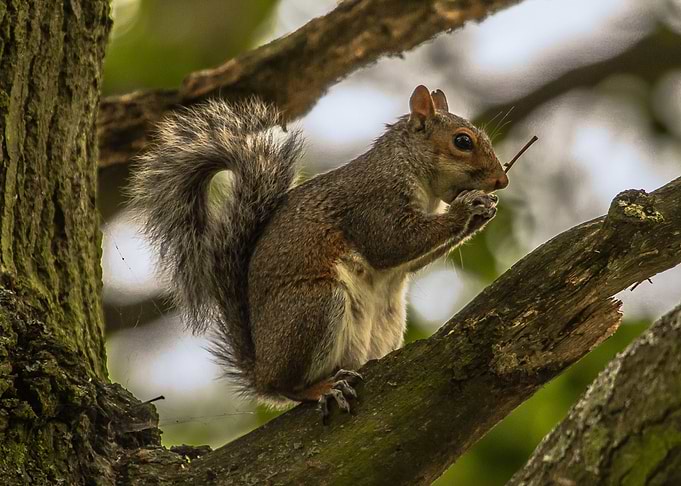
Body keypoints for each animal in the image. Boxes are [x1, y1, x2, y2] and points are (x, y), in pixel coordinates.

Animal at [129, 85, 508, 421]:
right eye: (462, 141)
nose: (501, 181)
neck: (410, 168)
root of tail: (261, 369)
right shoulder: (373, 202)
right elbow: (392, 244)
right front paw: (466, 209)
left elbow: (412, 259)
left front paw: (483, 211)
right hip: (315, 306)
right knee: (288, 387)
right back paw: (321, 388)